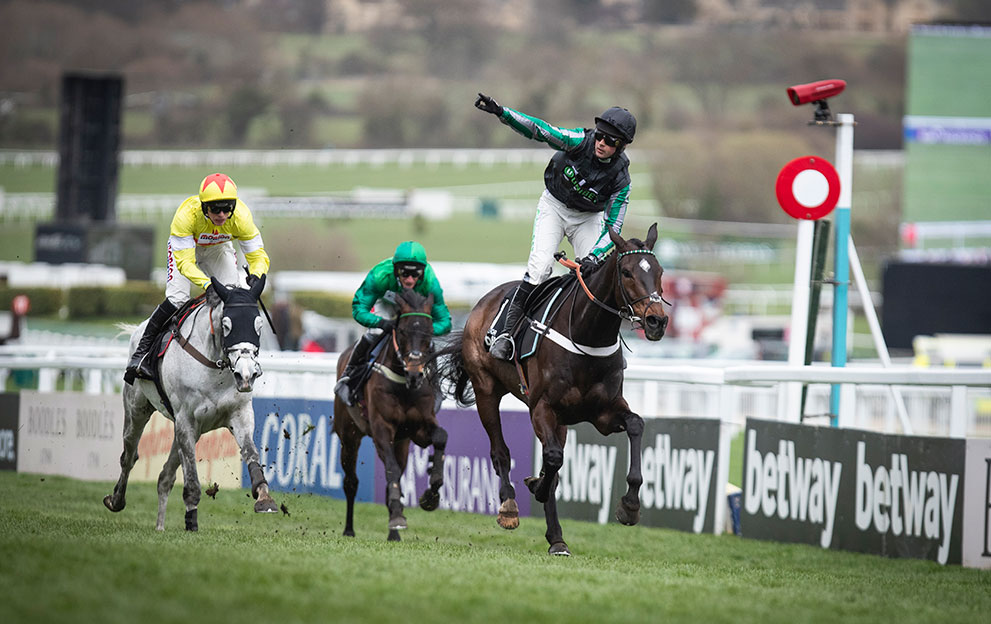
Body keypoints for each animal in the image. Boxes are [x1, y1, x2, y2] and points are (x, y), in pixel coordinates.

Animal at [105, 278, 280, 532]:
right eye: (226, 325)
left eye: (259, 326)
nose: (247, 375)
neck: (215, 366)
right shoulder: (186, 419)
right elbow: (192, 479)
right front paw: (192, 522)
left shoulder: (239, 414)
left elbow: (251, 453)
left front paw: (264, 497)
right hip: (137, 409)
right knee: (128, 456)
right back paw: (116, 500)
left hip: (189, 430)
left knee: (165, 477)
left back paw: (159, 526)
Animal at [336, 288, 448, 540]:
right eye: (403, 330)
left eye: (429, 333)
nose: (415, 374)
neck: (404, 385)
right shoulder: (381, 427)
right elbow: (391, 471)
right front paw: (398, 515)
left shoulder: (418, 428)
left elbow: (440, 437)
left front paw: (431, 496)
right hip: (348, 435)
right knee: (351, 482)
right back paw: (349, 529)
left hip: (402, 443)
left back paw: (393, 534)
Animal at [438, 224, 672, 556]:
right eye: (626, 272)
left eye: (660, 271)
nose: (656, 321)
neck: (587, 334)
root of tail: (482, 303)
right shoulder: (542, 407)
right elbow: (551, 458)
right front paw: (535, 486)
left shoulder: (603, 412)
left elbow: (635, 425)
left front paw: (629, 506)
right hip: (486, 391)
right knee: (500, 452)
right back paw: (509, 506)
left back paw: (557, 539)